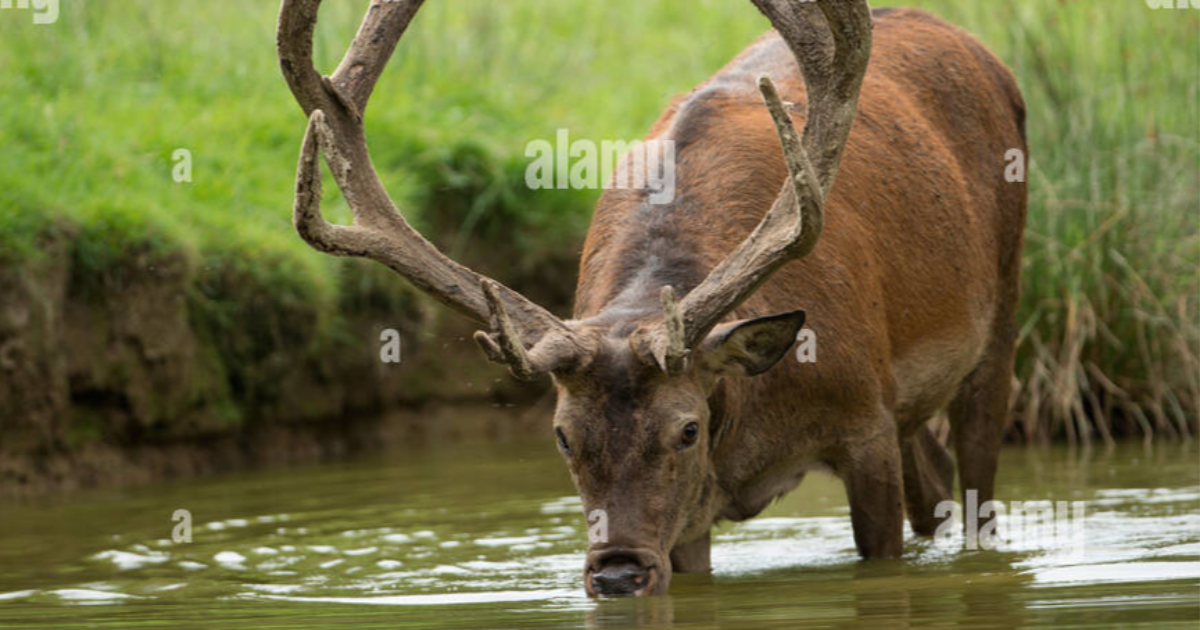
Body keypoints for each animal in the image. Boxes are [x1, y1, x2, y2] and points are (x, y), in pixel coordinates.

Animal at [277, 0, 1027, 597]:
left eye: (687, 428)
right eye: (561, 435)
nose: (615, 574)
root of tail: (972, 43)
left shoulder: (863, 421)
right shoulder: (689, 517)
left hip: (1000, 310)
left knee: (977, 477)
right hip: (911, 400)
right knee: (933, 483)